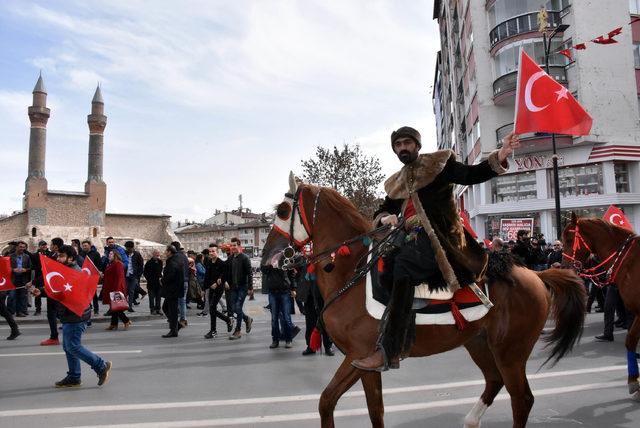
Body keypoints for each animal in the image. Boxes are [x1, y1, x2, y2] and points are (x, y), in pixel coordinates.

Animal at [260, 178, 584, 428]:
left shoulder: (359, 355)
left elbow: (326, 401)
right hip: (478, 342)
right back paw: (470, 421)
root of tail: (536, 275)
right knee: (495, 381)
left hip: (511, 352)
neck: (349, 271)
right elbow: (373, 411)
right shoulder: (365, 364)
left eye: (283, 210)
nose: (265, 257)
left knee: (522, 399)